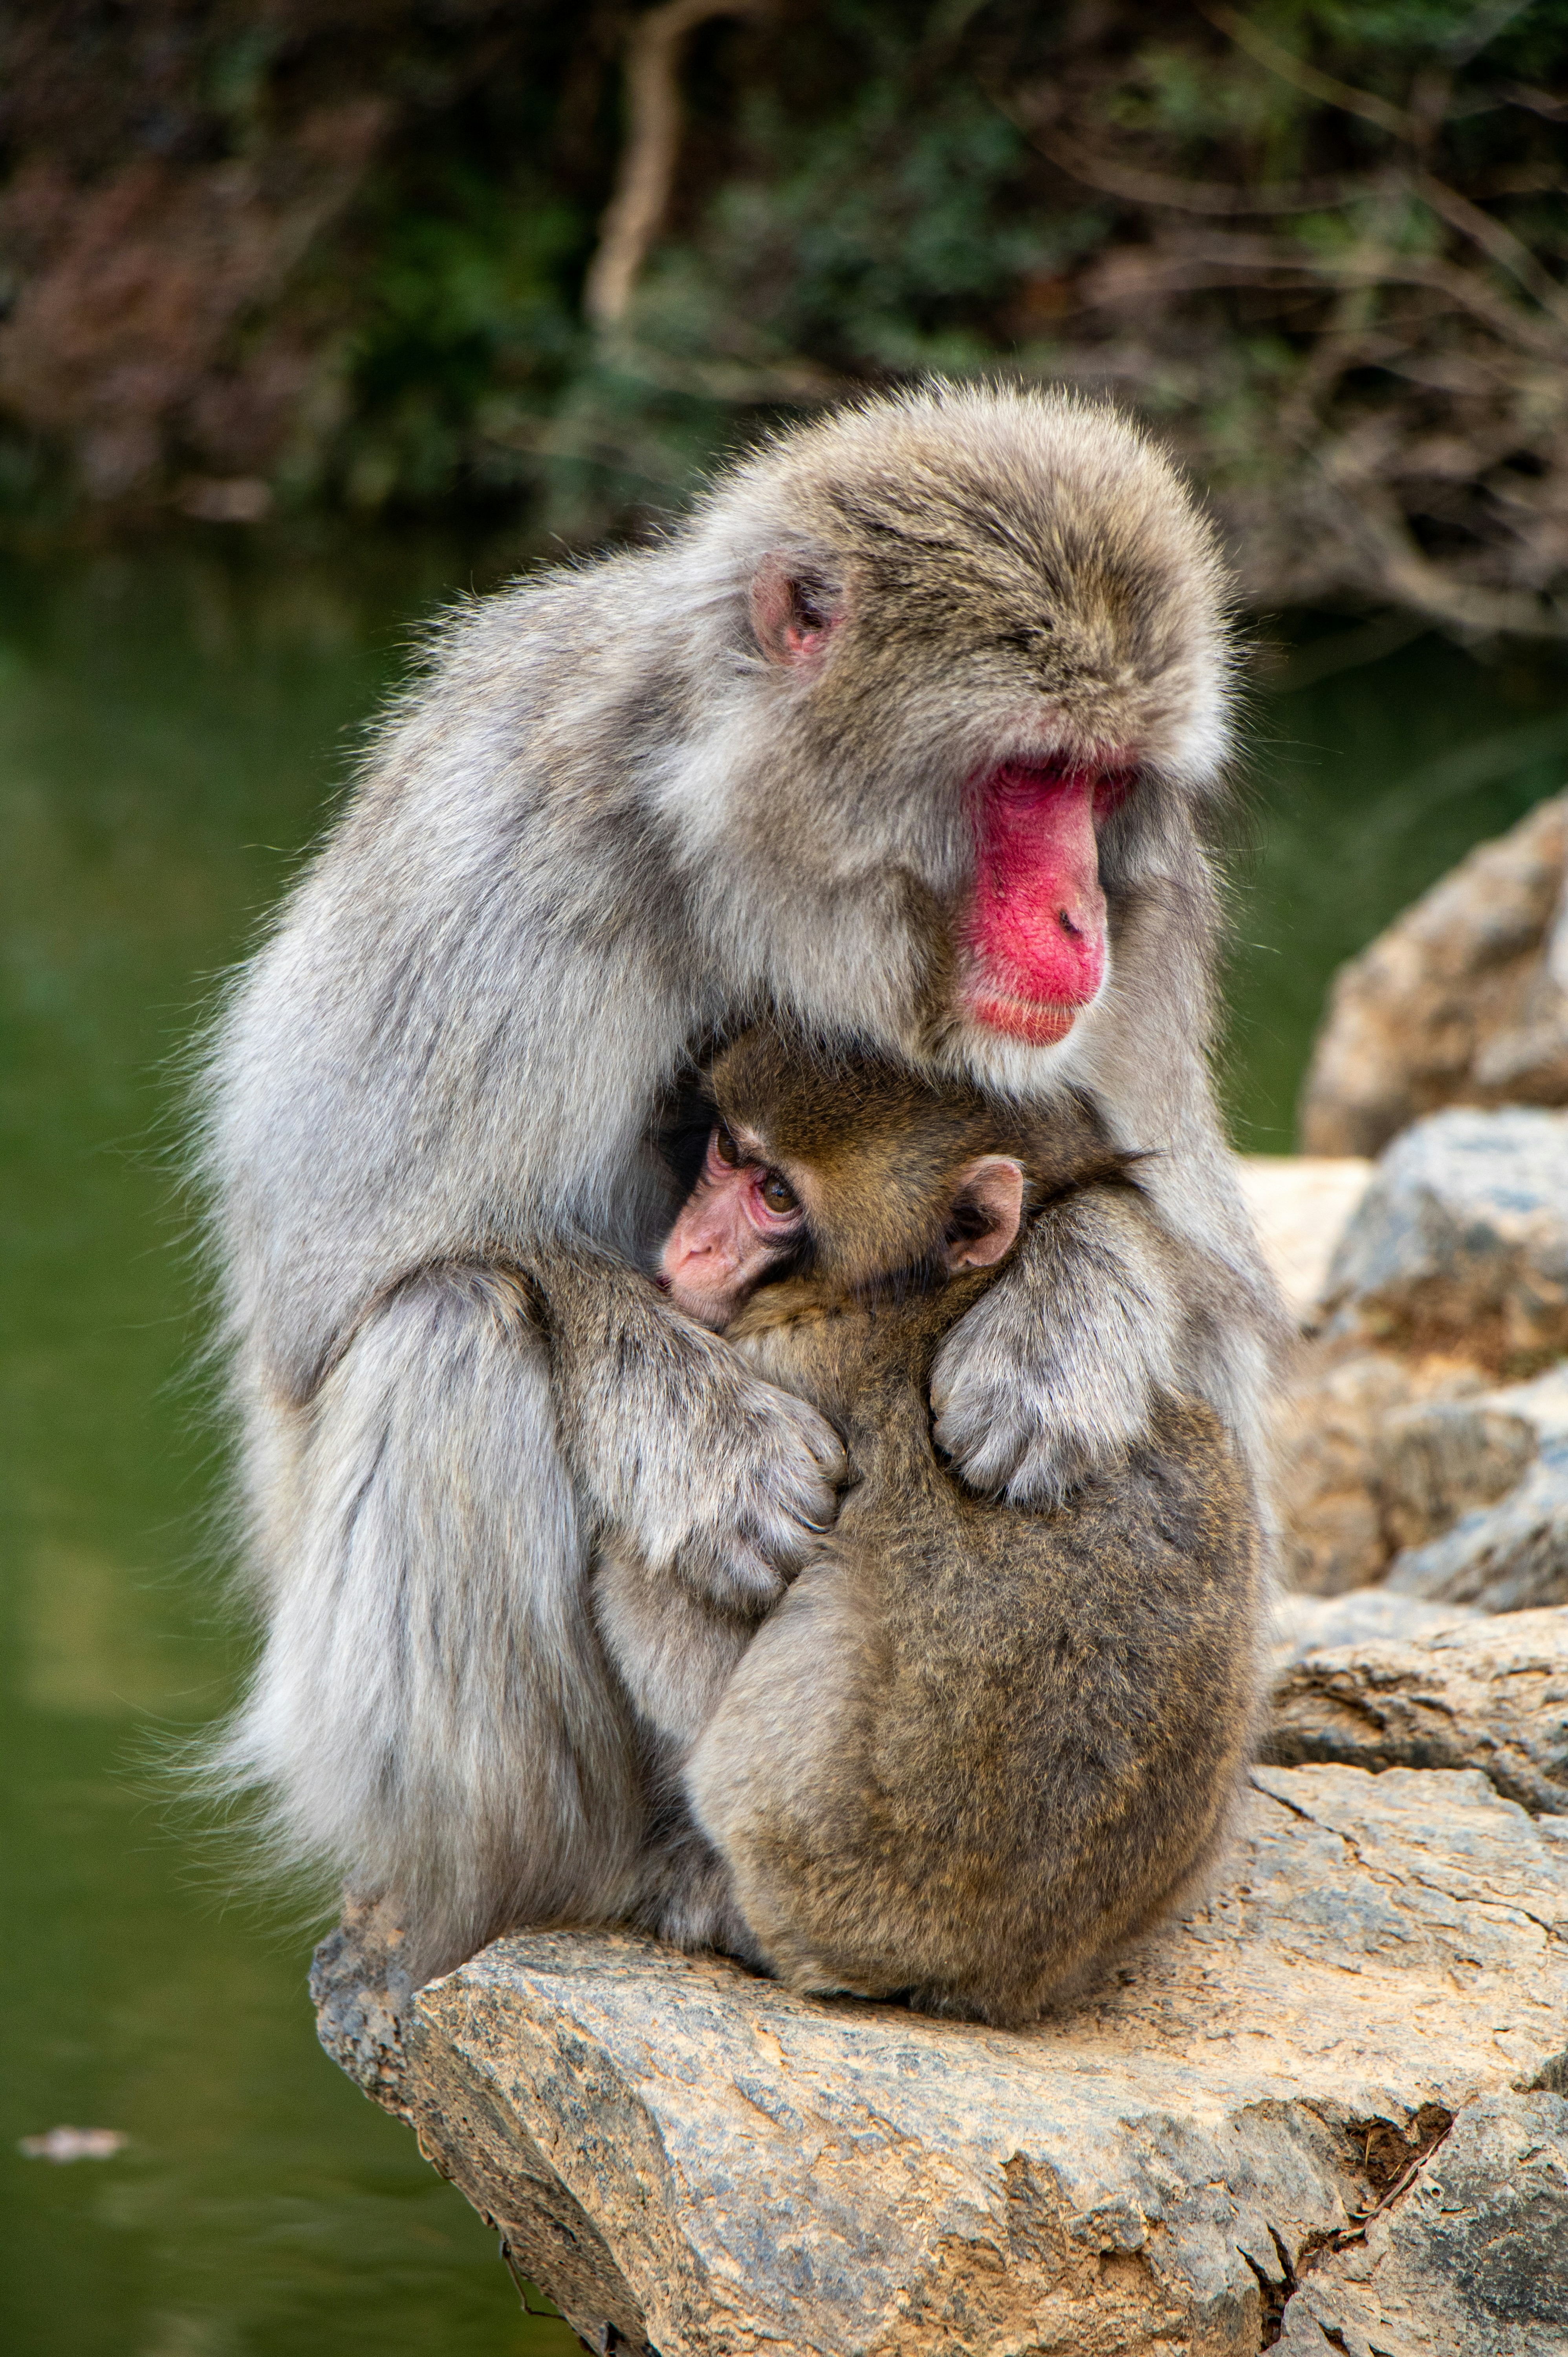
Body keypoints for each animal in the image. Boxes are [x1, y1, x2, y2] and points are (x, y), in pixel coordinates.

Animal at [591, 1024, 1267, 2022]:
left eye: (778, 1196)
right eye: (729, 1152)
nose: (694, 1245)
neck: (898, 1291)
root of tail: (987, 1975)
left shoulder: (782, 1359)